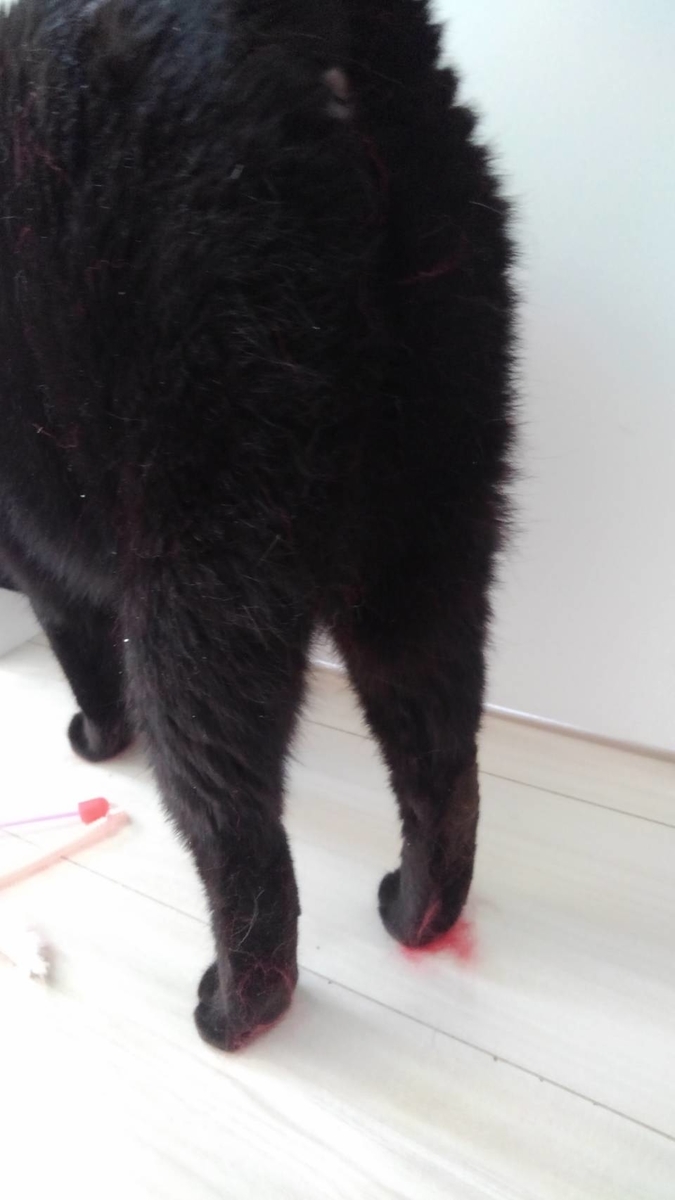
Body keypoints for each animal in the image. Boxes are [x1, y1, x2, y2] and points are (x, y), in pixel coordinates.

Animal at [0, 0, 515, 1049]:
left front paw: (95, 737)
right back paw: (416, 913)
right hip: (427, 538)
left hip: (200, 577)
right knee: (444, 763)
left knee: (238, 834)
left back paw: (234, 1011)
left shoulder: (42, 558)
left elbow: (78, 650)